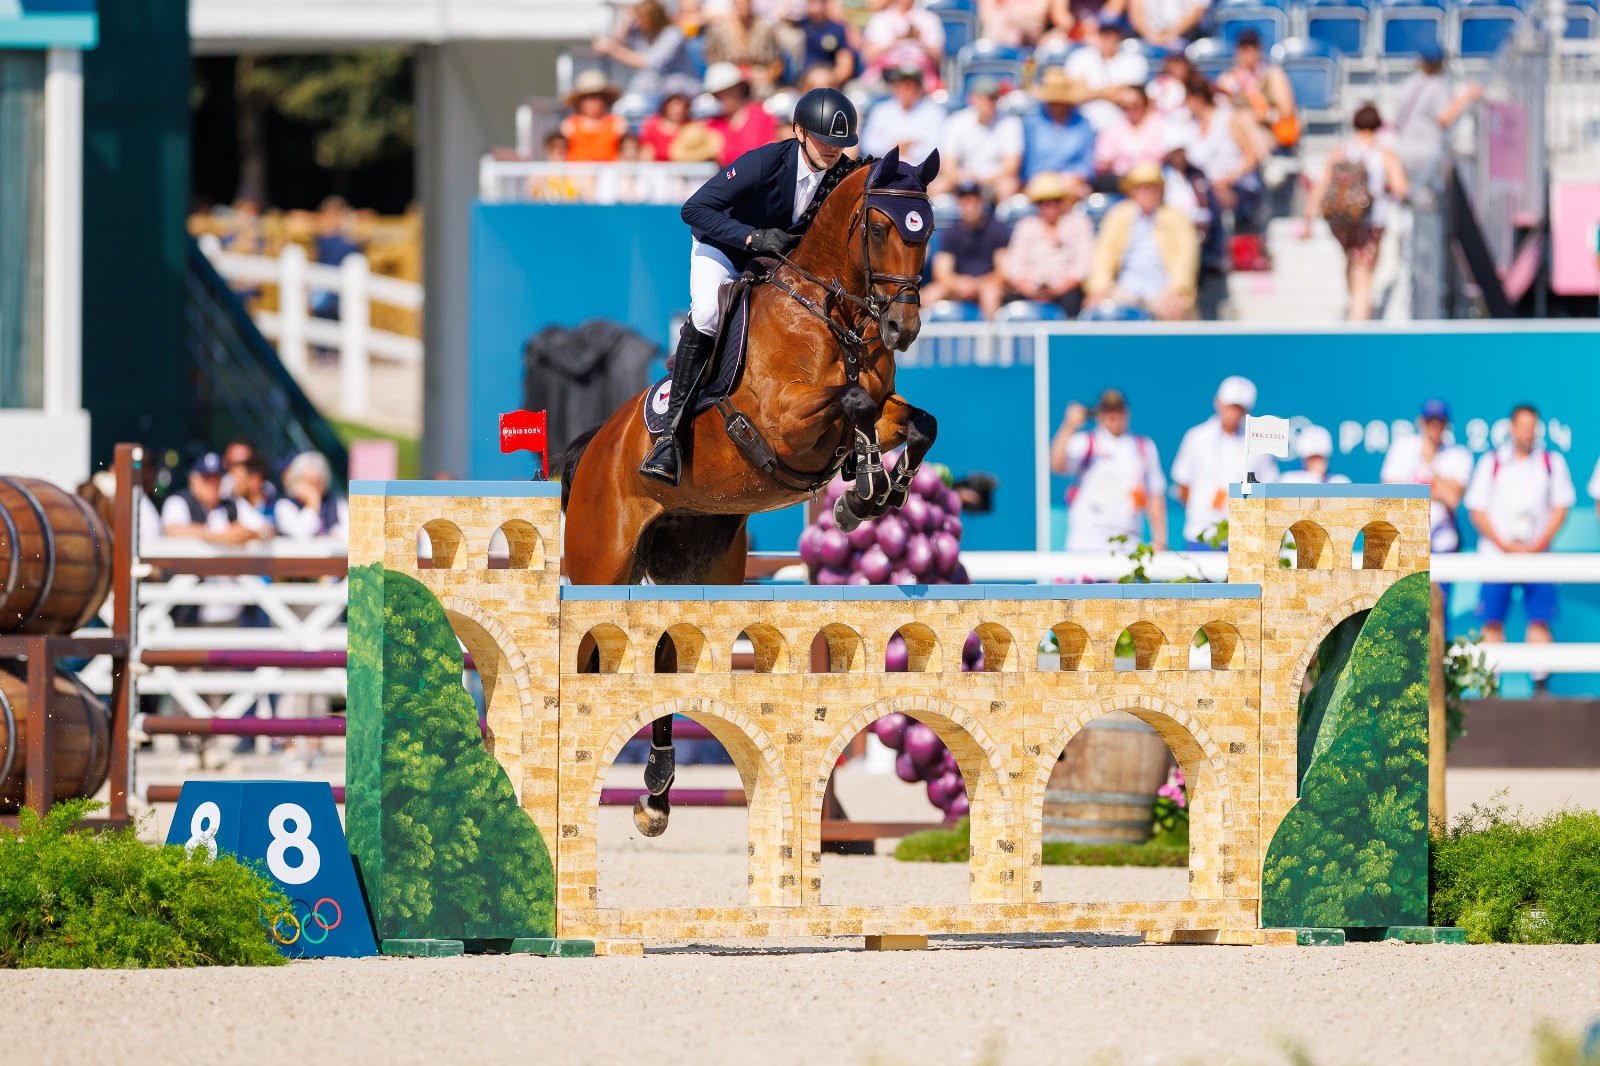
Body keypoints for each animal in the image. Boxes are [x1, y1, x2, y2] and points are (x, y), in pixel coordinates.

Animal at [560, 145, 934, 832]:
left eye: (929, 228)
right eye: (879, 228)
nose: (903, 326)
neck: (830, 312)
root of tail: (594, 446)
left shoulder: (880, 405)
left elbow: (916, 421)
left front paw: (869, 495)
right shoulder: (782, 420)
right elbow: (855, 400)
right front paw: (862, 481)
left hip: (699, 566)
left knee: (668, 659)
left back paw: (656, 795)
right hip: (602, 564)